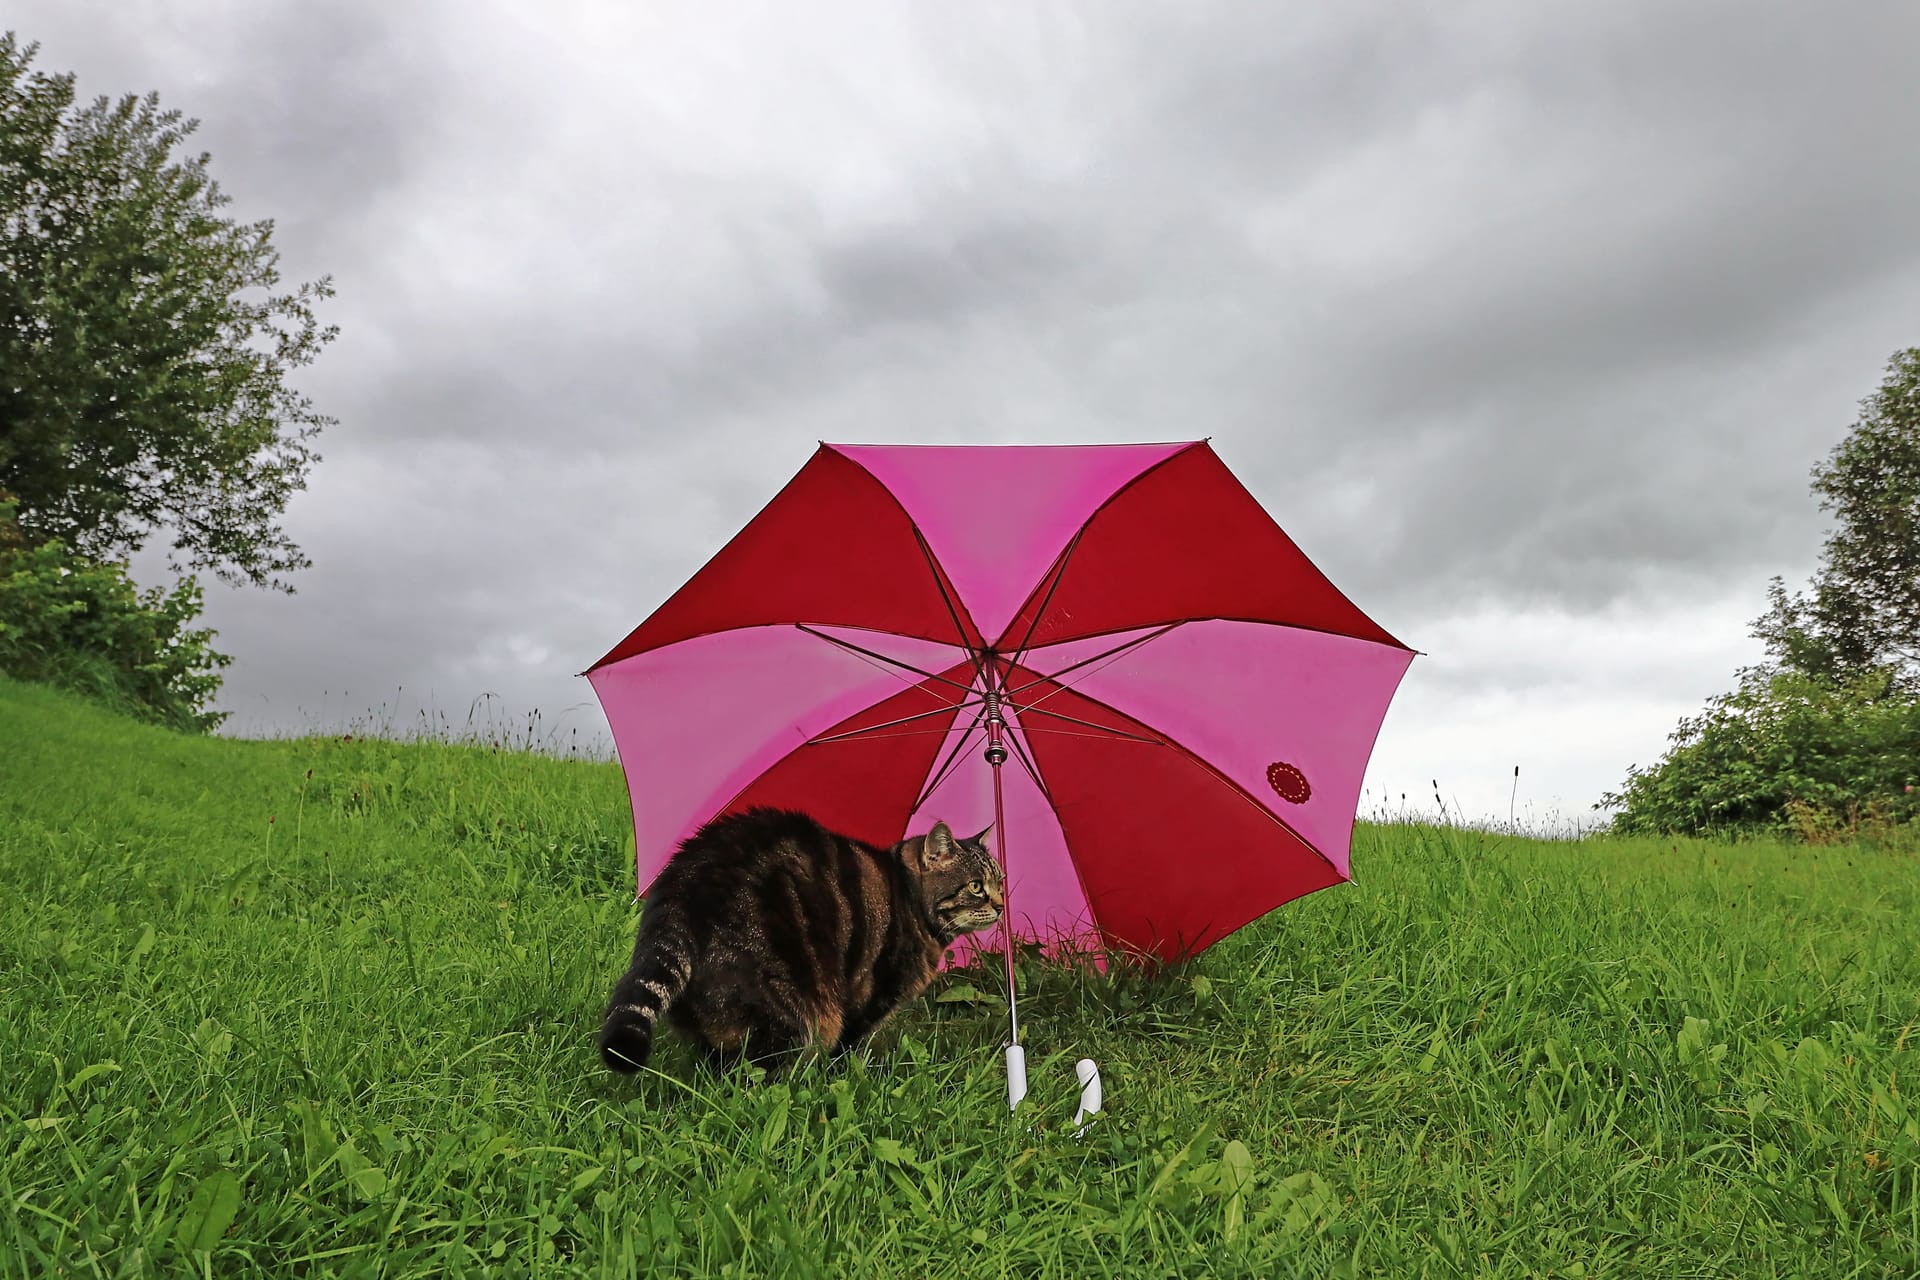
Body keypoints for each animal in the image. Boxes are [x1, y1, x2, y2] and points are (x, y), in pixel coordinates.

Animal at [599, 809, 1006, 1074]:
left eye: (1000, 880)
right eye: (976, 886)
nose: (1002, 905)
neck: (910, 898)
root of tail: (686, 885)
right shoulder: (869, 999)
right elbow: (847, 1046)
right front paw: (844, 1078)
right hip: (788, 1007)